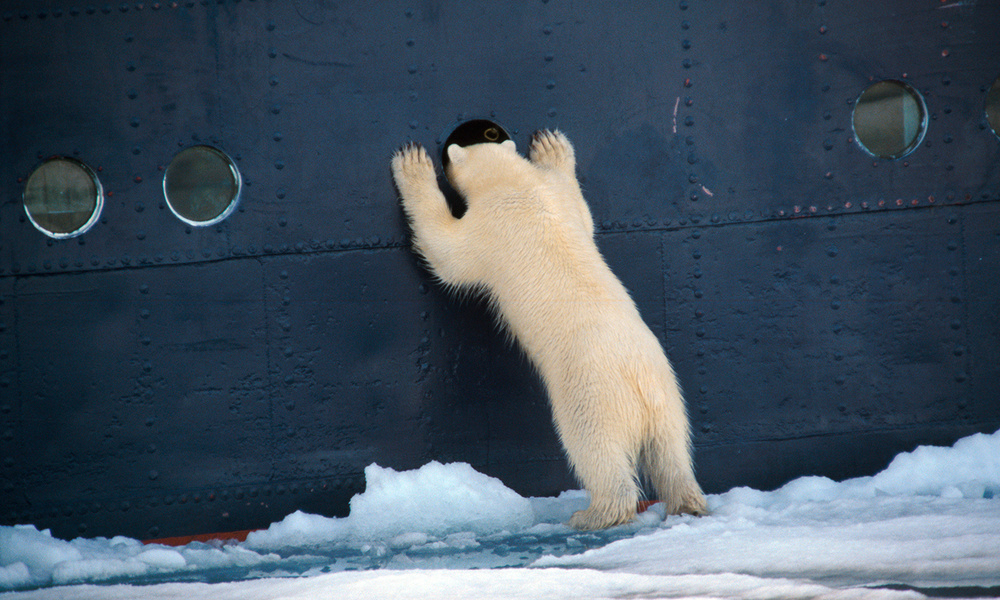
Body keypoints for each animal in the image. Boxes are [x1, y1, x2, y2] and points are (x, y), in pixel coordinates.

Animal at [386, 129, 708, 528]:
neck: (516, 184)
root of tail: (640, 383)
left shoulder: (488, 226)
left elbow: (446, 251)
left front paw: (412, 165)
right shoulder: (555, 197)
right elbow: (583, 215)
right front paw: (552, 148)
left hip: (592, 393)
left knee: (595, 448)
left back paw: (594, 513)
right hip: (669, 393)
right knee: (672, 452)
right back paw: (687, 503)